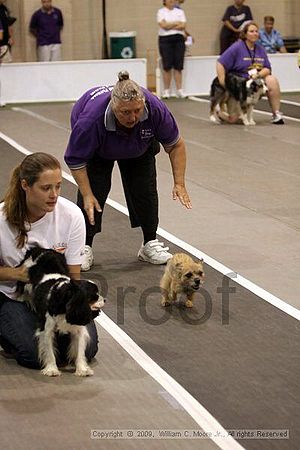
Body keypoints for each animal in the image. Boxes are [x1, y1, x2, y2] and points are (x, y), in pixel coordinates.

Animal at [17, 248, 105, 378]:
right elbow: (50, 352)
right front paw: (52, 369)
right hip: (24, 277)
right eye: (95, 296)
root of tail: (41, 250)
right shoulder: (46, 329)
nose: (104, 300)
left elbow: (80, 351)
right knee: (21, 289)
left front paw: (82, 369)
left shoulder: (78, 329)